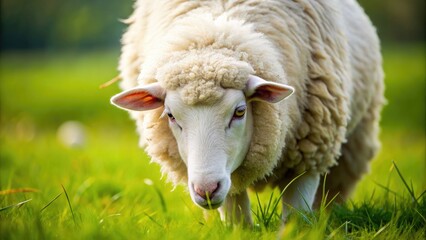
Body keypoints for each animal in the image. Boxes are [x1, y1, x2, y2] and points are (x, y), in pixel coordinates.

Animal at [110, 0, 386, 227]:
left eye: (240, 111)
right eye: (170, 115)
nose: (206, 189)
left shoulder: (309, 156)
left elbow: (296, 221)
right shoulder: (229, 177)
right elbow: (237, 222)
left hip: (353, 144)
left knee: (333, 192)